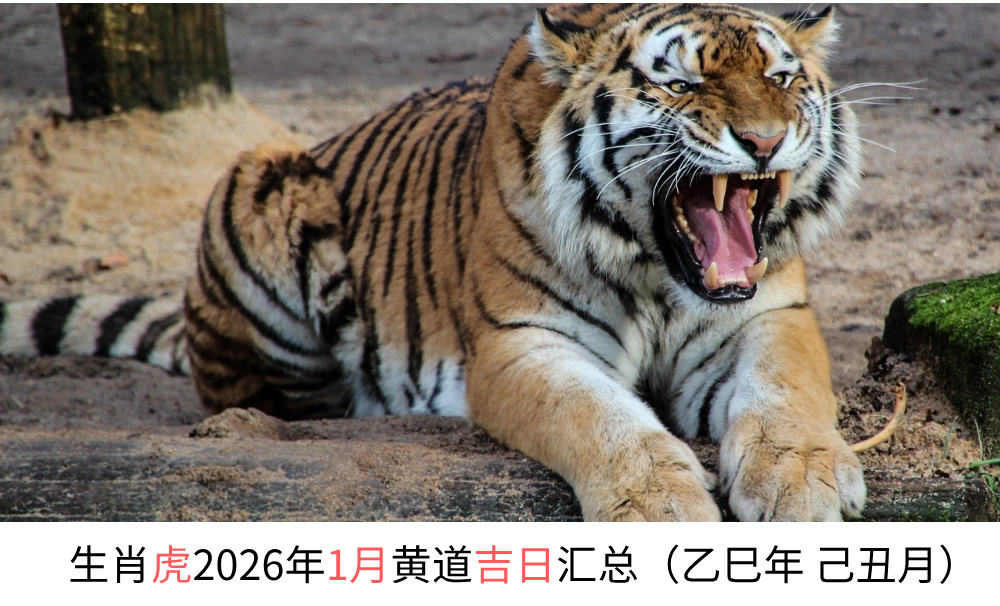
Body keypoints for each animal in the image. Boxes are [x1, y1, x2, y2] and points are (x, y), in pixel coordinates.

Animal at [0, 4, 866, 521]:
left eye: (781, 78)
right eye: (682, 84)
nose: (765, 141)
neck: (658, 271)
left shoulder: (768, 316)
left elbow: (787, 393)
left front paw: (806, 482)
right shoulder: (522, 343)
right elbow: (601, 417)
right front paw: (658, 505)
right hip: (261, 178)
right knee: (261, 399)